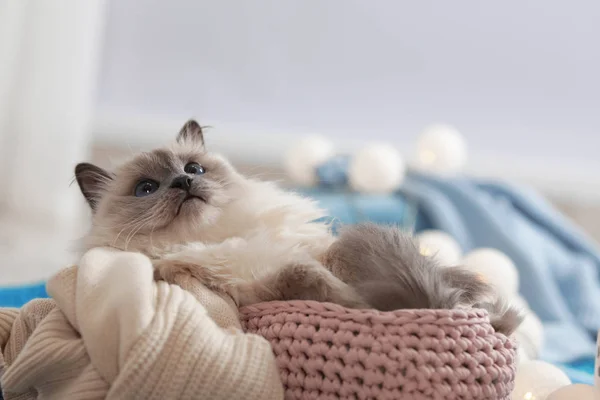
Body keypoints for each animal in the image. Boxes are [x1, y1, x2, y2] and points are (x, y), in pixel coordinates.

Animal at [75, 120, 524, 336]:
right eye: (147, 188)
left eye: (194, 169)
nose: (183, 183)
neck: (223, 237)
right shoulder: (258, 287)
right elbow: (315, 278)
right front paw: (368, 305)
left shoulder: (321, 248)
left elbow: (335, 256)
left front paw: (475, 305)